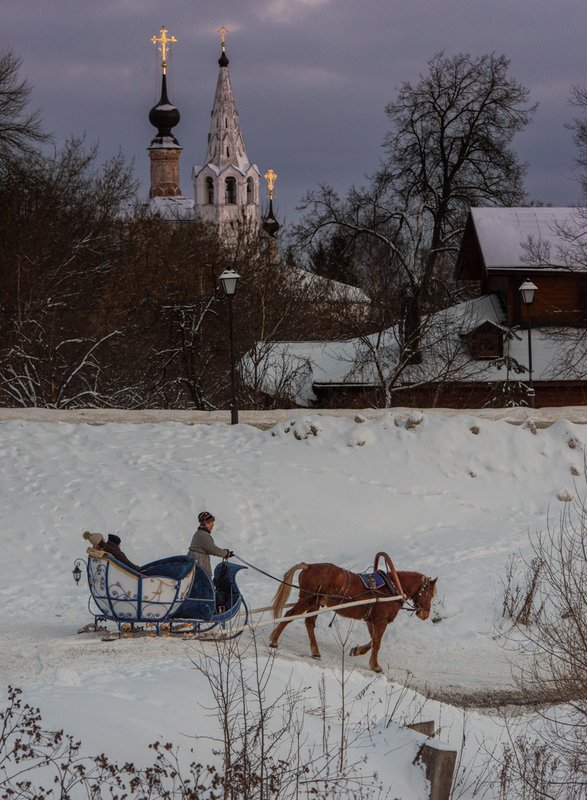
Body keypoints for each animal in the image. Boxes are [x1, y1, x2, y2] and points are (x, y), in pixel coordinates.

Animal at [270, 552, 436, 676]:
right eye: (429, 594)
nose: (425, 614)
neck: (392, 587)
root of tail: (308, 566)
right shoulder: (380, 622)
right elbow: (377, 643)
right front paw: (375, 666)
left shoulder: (371, 620)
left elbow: (372, 641)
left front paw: (357, 651)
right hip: (307, 599)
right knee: (289, 615)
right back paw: (274, 640)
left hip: (315, 603)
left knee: (309, 623)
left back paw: (315, 652)